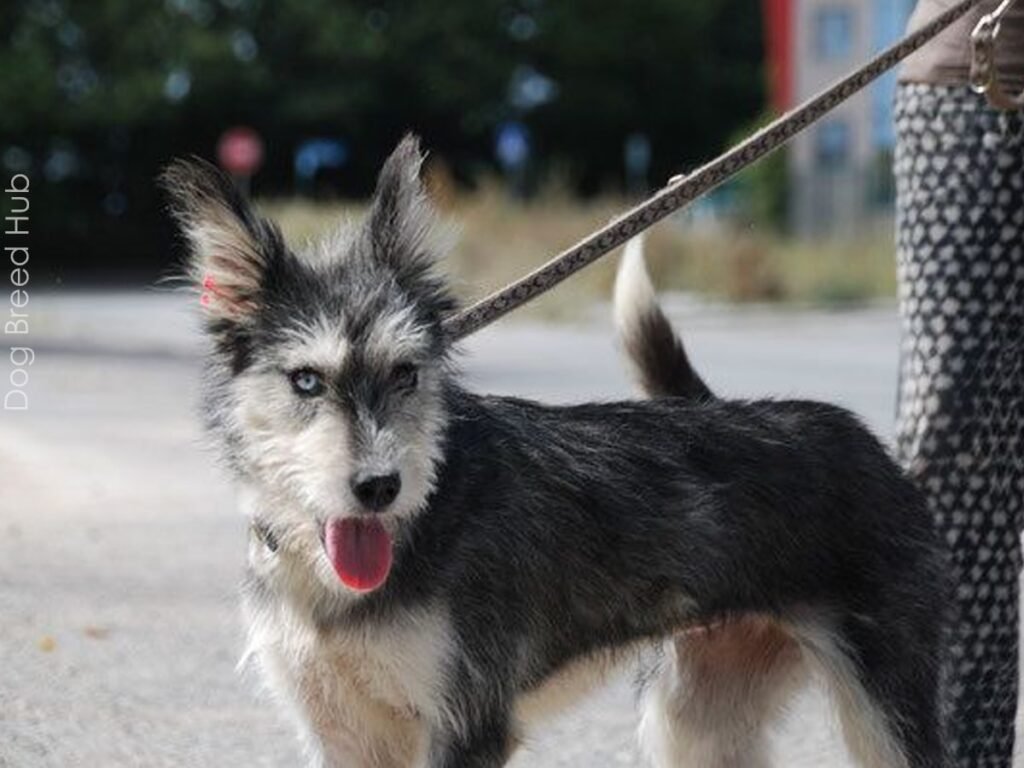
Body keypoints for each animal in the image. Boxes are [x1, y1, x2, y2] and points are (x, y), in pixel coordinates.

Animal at [161, 138, 950, 768]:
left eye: (406, 374)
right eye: (306, 380)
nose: (379, 487)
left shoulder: (466, 725)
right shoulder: (344, 735)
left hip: (885, 711)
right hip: (695, 719)